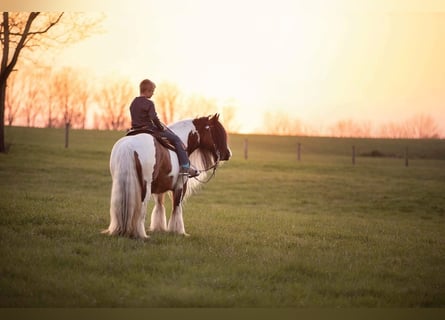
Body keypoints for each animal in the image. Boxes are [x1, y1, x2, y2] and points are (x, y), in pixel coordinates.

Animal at [102, 113, 231, 238]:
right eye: (217, 132)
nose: (228, 154)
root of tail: (129, 146)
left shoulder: (159, 187)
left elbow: (159, 205)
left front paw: (159, 228)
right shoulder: (180, 186)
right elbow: (177, 207)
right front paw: (178, 231)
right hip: (145, 187)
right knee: (141, 209)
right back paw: (141, 234)